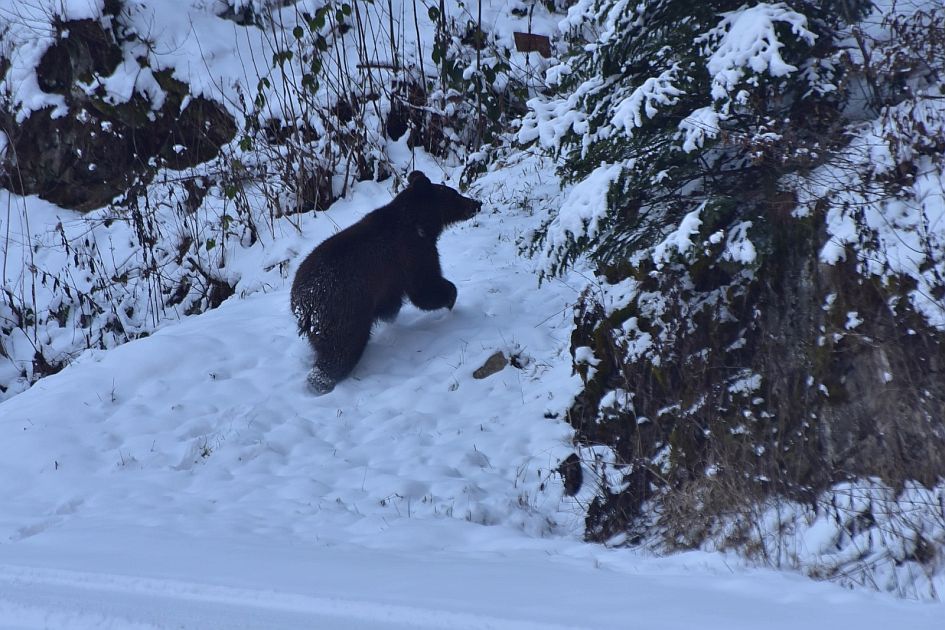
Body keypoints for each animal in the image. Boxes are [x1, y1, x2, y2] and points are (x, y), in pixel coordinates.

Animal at [288, 170, 480, 392]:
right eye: (454, 195)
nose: (477, 203)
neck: (420, 225)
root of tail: (302, 305)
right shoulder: (412, 255)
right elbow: (424, 288)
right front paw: (450, 297)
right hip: (344, 311)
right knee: (340, 351)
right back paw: (322, 381)